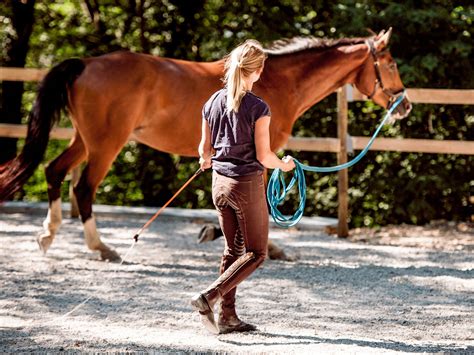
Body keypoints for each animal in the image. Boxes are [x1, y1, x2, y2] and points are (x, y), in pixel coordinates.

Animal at [0, 28, 412, 262]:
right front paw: (265, 246)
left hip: (84, 140)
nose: (405, 104)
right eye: (390, 63)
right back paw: (101, 247)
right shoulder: (261, 153)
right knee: (83, 187)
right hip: (105, 144)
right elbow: (258, 200)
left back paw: (47, 235)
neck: (276, 81)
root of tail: (86, 63)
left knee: (54, 171)